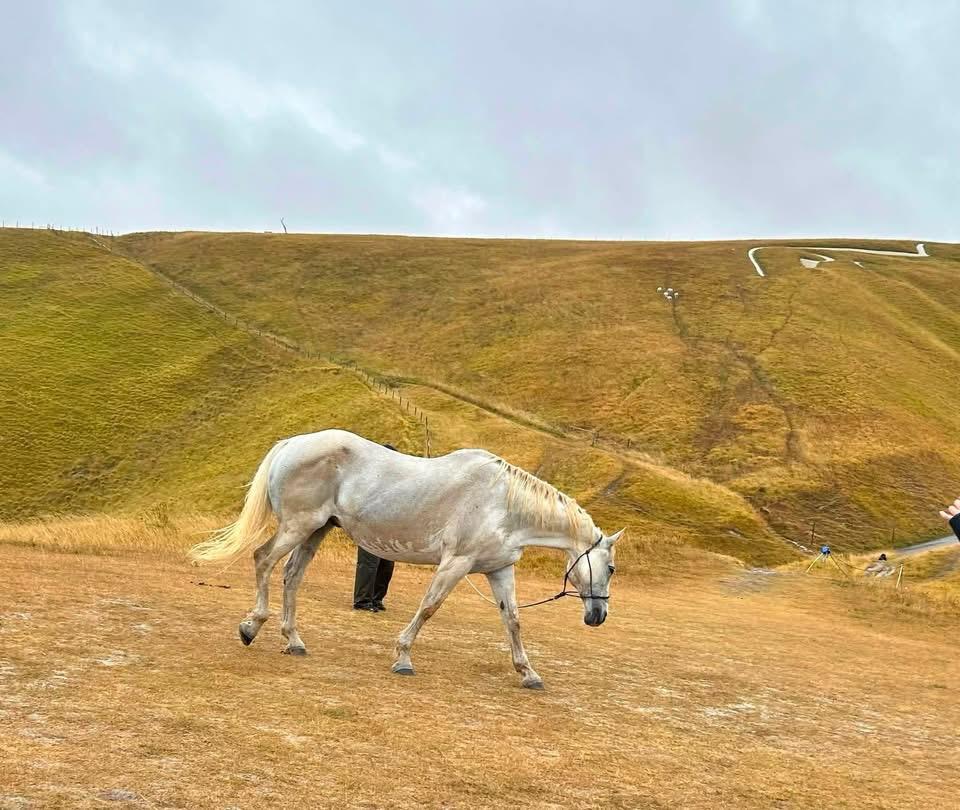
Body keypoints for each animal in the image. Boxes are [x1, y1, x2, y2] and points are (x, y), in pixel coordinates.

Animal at [190, 429, 623, 689]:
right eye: (611, 567)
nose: (598, 616)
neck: (503, 503)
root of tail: (294, 443)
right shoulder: (456, 563)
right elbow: (429, 608)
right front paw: (403, 658)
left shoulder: (498, 569)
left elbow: (513, 621)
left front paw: (528, 673)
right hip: (299, 526)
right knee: (264, 560)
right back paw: (251, 626)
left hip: (315, 531)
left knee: (291, 576)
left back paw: (293, 640)